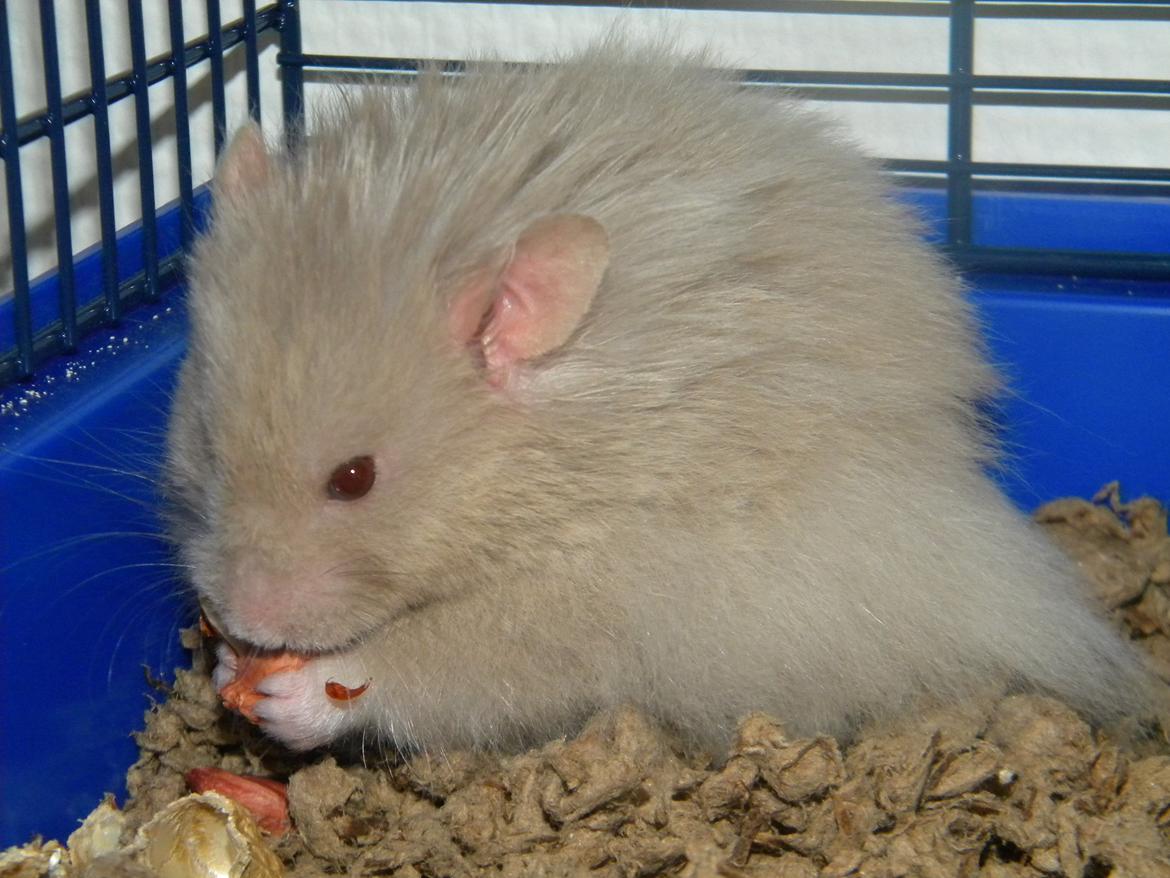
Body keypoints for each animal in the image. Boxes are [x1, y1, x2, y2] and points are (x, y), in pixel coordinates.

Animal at [163, 44, 1160, 755]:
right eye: (207, 447)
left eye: (355, 478)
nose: (243, 621)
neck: (538, 464)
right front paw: (227, 666)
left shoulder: (598, 596)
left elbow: (453, 659)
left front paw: (286, 689)